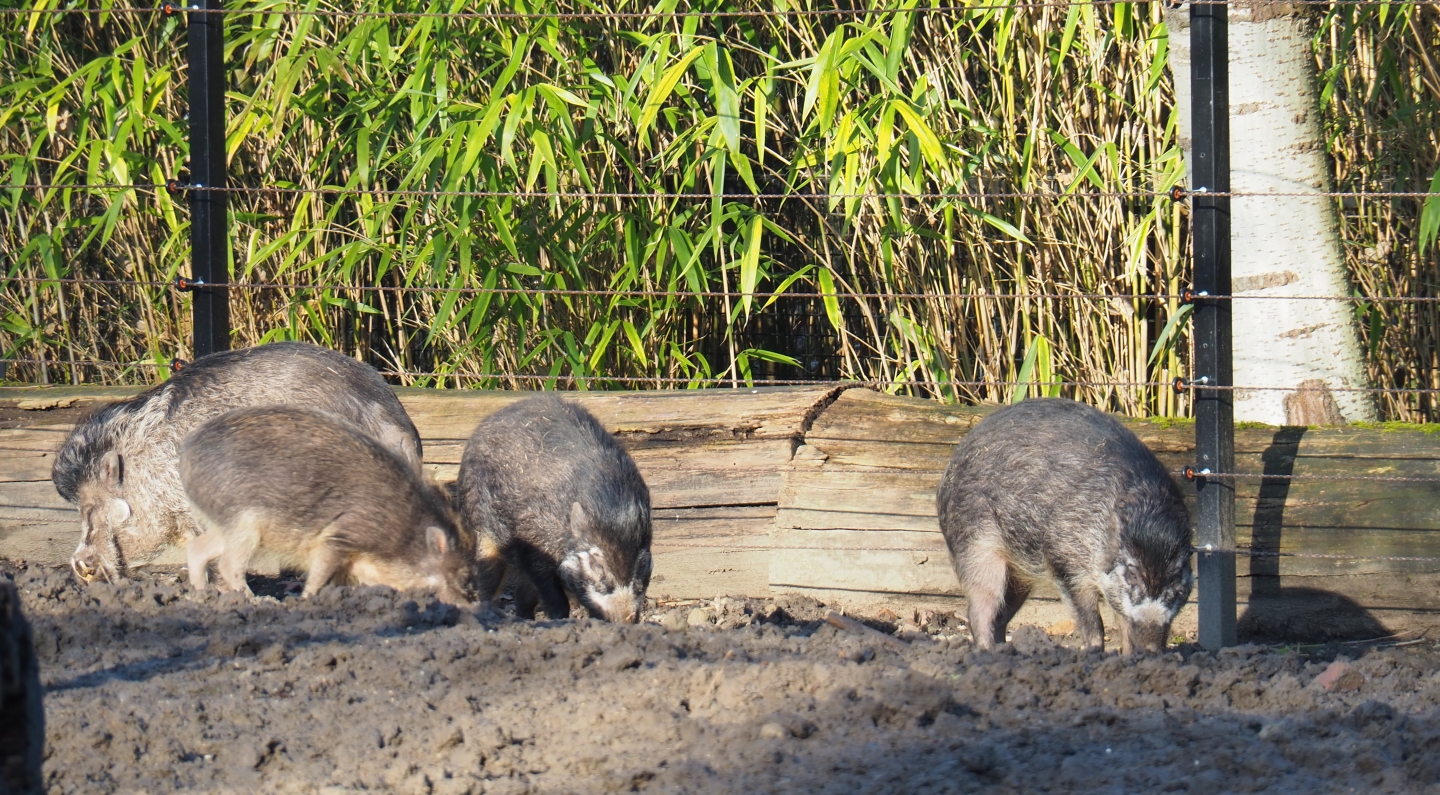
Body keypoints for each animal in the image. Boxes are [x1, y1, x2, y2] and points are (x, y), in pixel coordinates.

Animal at [179, 406, 476, 605]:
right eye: (461, 574)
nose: (466, 607)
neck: (404, 532)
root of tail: (187, 450)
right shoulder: (340, 536)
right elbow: (320, 573)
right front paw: (307, 600)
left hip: (223, 523)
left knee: (197, 549)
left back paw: (200, 596)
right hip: (244, 523)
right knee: (228, 564)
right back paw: (258, 601)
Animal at [456, 395, 652, 623]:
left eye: (640, 574)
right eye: (598, 567)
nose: (626, 620)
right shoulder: (534, 546)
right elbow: (555, 599)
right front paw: (560, 620)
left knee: (522, 598)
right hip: (481, 530)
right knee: (486, 580)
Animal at [936, 398, 1193, 654]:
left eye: (1175, 577)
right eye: (1132, 574)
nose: (1150, 648)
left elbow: (1124, 627)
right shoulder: (1064, 563)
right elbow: (1093, 624)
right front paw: (1093, 653)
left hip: (1017, 576)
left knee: (1000, 617)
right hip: (975, 548)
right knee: (979, 610)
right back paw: (987, 653)